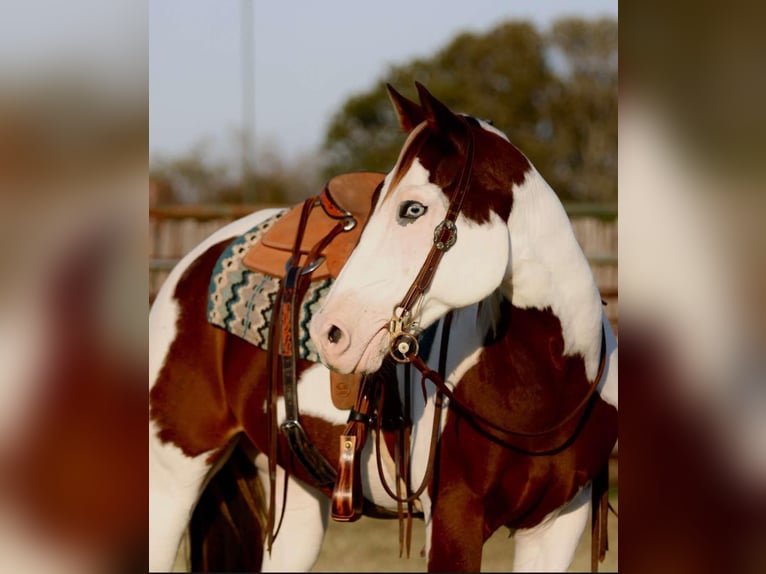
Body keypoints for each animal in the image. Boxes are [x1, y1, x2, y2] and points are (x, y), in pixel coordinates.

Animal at [148, 83, 618, 572]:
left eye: (413, 208)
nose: (329, 333)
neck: (543, 383)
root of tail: (192, 262)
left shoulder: (558, 524)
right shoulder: (454, 518)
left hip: (296, 495)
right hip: (171, 477)